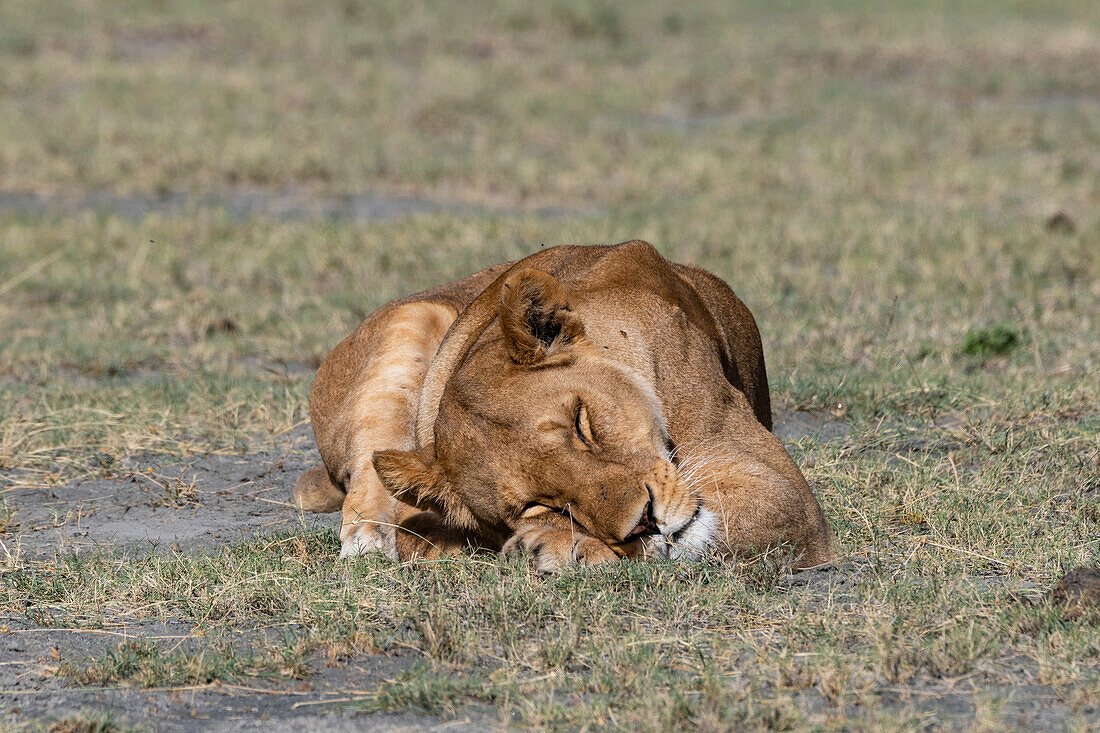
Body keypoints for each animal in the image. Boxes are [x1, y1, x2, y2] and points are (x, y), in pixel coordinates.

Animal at [292, 239, 831, 572]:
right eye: (539, 501)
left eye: (582, 423)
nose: (646, 521)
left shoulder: (780, 489)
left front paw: (548, 546)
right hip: (408, 324)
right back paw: (371, 538)